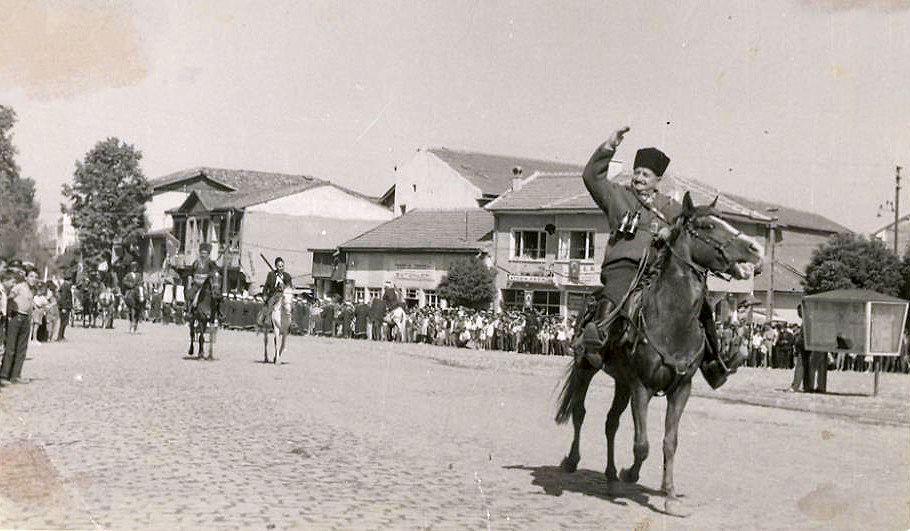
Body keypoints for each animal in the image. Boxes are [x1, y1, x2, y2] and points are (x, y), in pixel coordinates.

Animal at [556, 193, 764, 516]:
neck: (671, 319)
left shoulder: (681, 389)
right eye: (707, 225)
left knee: (610, 423)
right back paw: (573, 461)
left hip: (622, 383)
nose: (755, 249)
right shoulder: (642, 387)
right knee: (580, 412)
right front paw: (632, 474)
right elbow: (642, 444)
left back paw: (611, 478)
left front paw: (669, 496)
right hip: (586, 368)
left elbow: (669, 442)